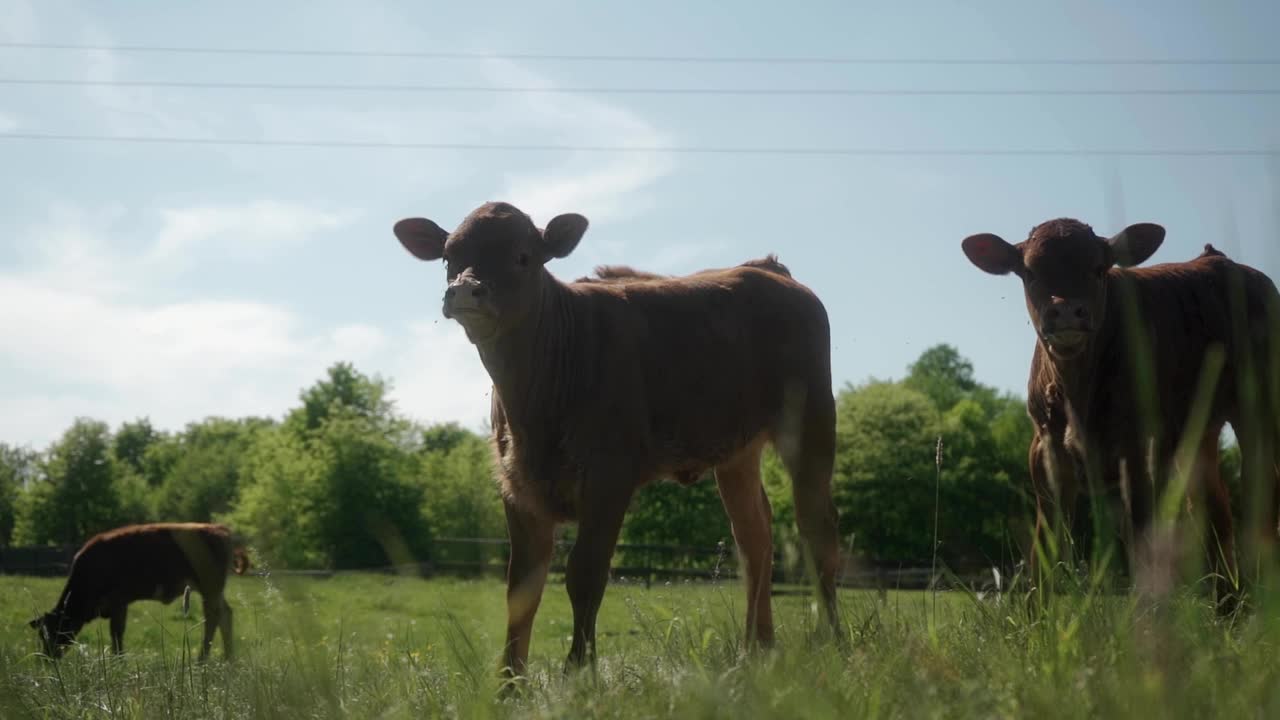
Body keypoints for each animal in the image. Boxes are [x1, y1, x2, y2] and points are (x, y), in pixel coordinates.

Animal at [28, 517, 248, 661]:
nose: (47, 658)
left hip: (209, 588)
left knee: (213, 618)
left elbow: (117, 635)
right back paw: (228, 659)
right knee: (225, 615)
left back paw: (203, 659)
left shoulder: (118, 603)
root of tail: (219, 528)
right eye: (41, 634)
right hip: (213, 591)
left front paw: (119, 661)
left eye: (53, 632)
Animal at [394, 199, 844, 676]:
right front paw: (509, 682)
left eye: (523, 256)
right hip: (737, 451)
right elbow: (521, 588)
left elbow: (585, 574)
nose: (465, 290)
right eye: (448, 258)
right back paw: (756, 650)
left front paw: (579, 672)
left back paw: (830, 642)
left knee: (817, 528)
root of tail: (767, 268)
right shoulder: (516, 485)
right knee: (754, 537)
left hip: (812, 420)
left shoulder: (609, 476)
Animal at [962, 217, 1280, 604]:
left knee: (1261, 495)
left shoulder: (1138, 452)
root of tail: (1217, 259)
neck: (1078, 394)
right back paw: (1227, 606)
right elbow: (1045, 549)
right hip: (1201, 429)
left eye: (1099, 269)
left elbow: (1142, 545)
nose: (1066, 310)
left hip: (1260, 409)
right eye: (1030, 272)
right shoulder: (1045, 451)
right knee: (1215, 508)